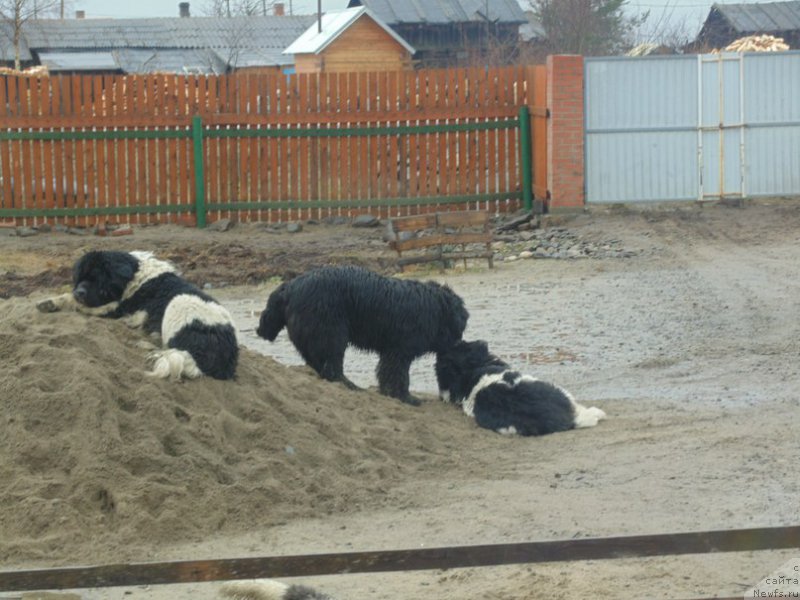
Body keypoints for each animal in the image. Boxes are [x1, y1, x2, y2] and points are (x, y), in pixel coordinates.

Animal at [37, 248, 238, 380]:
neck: (133, 276)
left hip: (179, 302)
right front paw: (49, 302)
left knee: (172, 347)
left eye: (97, 278)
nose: (80, 291)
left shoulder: (117, 307)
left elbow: (78, 304)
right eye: (80, 277)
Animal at [256, 266, 468, 404]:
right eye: (459, 328)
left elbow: (387, 373)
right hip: (332, 334)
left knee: (319, 365)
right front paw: (405, 397)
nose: (459, 344)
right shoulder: (399, 351)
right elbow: (398, 375)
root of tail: (289, 288)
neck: (435, 307)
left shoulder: (391, 352)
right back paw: (351, 387)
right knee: (332, 368)